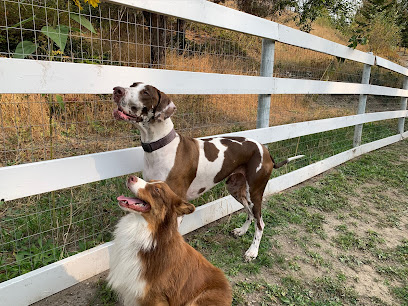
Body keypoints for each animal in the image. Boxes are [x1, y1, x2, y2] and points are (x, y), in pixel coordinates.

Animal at [111, 82, 302, 260]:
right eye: (132, 85)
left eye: (145, 92)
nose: (117, 90)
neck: (161, 146)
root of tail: (266, 151)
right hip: (236, 189)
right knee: (249, 214)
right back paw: (241, 231)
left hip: (254, 192)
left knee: (260, 222)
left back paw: (252, 251)